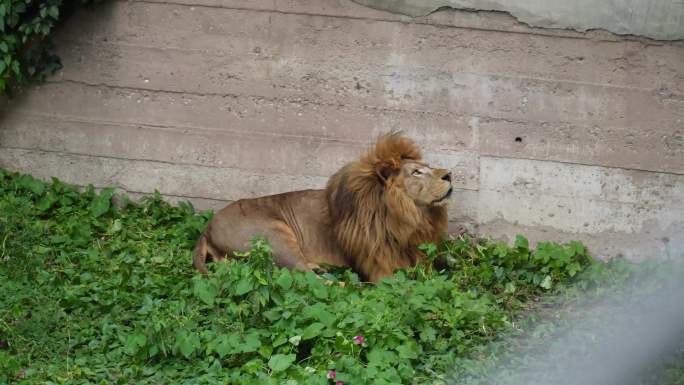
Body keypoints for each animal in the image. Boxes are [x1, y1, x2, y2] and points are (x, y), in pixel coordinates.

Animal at [192, 133, 452, 282]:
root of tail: (207, 228)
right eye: (416, 172)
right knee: (310, 281)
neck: (410, 216)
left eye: (428, 166)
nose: (450, 174)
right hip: (276, 237)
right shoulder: (380, 267)